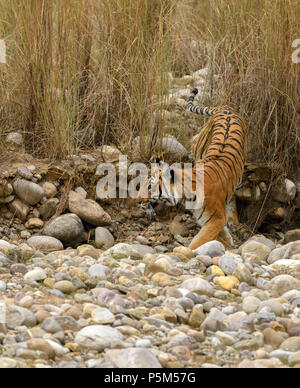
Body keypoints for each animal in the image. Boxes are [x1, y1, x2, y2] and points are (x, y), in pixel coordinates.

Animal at [137, 88, 247, 250]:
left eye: (150, 186)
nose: (138, 201)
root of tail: (227, 108)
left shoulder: (215, 219)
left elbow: (198, 242)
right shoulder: (210, 220)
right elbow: (221, 236)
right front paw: (228, 244)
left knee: (233, 196)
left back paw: (233, 220)